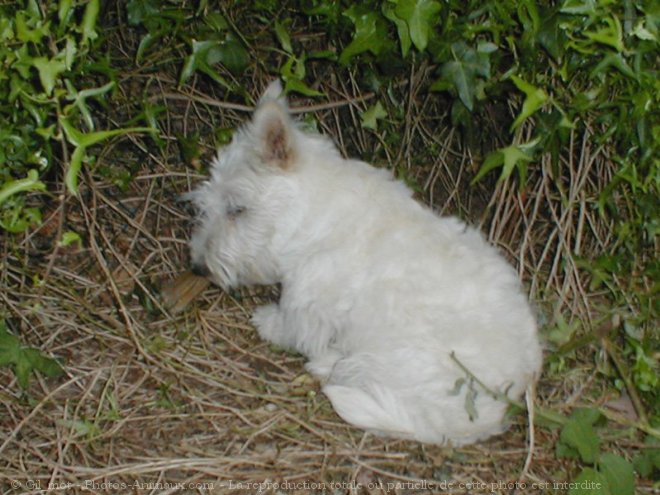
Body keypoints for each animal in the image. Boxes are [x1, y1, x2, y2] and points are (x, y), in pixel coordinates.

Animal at [189, 81, 540, 446]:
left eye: (237, 209)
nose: (198, 267)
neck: (313, 215)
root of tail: (489, 413)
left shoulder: (307, 300)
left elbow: (290, 326)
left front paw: (267, 321)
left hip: (390, 358)